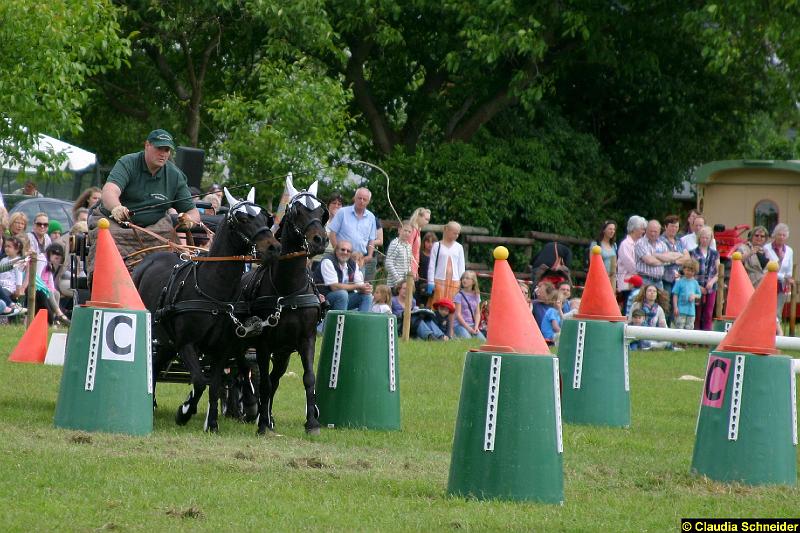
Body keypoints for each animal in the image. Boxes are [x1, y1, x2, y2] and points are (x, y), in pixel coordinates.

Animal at [133, 187, 280, 424]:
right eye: (242, 219)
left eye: (266, 217)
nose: (274, 247)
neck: (213, 290)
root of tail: (147, 260)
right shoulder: (186, 343)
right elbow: (201, 381)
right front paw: (184, 411)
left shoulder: (221, 348)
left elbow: (214, 384)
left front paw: (212, 423)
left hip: (166, 341)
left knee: (156, 366)